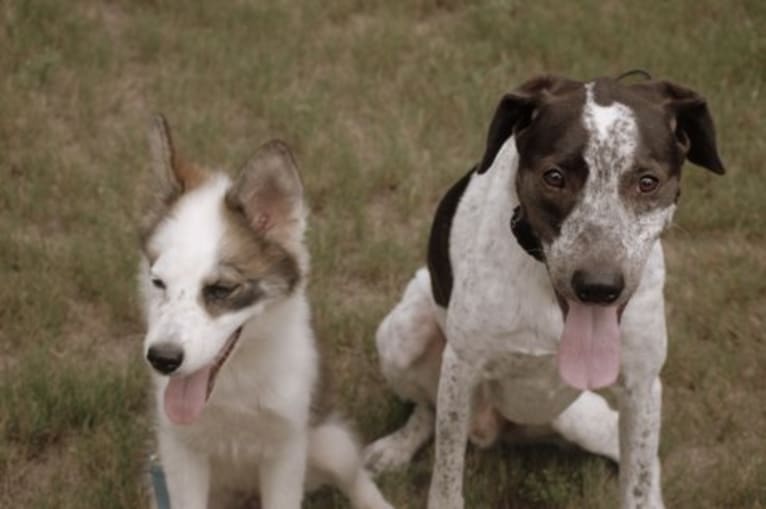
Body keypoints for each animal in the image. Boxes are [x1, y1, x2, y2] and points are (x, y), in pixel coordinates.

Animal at [139, 117, 392, 508]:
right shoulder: (180, 453)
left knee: (353, 472)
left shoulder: (286, 448)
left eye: (221, 290)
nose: (162, 359)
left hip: (328, 443)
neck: (234, 383)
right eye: (158, 281)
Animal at [366, 73, 728, 506]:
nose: (598, 288)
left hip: (585, 418)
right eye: (554, 177)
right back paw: (396, 447)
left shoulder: (641, 383)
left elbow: (637, 484)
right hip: (401, 335)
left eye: (647, 182)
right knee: (428, 411)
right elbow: (447, 481)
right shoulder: (461, 366)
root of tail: (489, 429)